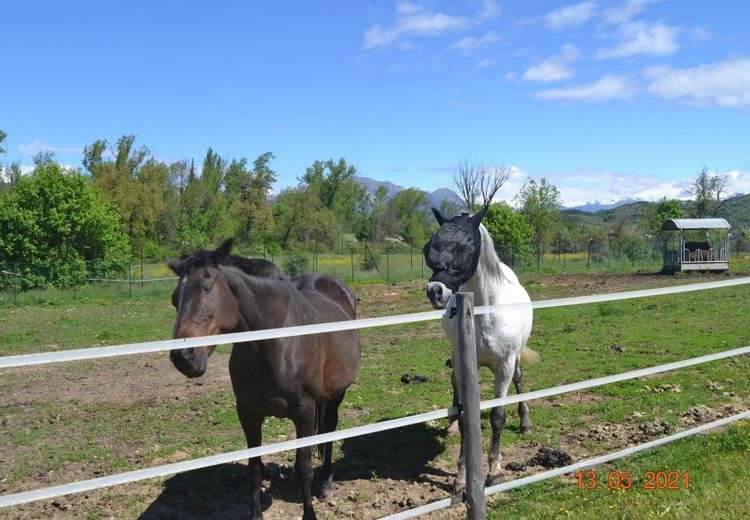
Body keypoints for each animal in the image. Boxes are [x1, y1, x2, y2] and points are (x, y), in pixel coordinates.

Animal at [169, 241, 362, 520]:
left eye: (206, 288)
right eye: (175, 299)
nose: (183, 357)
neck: (274, 343)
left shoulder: (305, 410)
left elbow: (305, 467)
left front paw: (309, 513)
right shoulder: (247, 413)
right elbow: (255, 470)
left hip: (336, 395)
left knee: (328, 431)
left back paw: (327, 483)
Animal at [426, 205, 536, 490]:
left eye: (465, 245)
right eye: (430, 245)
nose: (435, 291)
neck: (484, 313)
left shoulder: (505, 365)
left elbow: (497, 417)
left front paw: (495, 471)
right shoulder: (466, 363)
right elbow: (467, 418)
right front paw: (461, 476)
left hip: (514, 362)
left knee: (519, 379)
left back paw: (525, 421)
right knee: (454, 384)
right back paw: (451, 425)